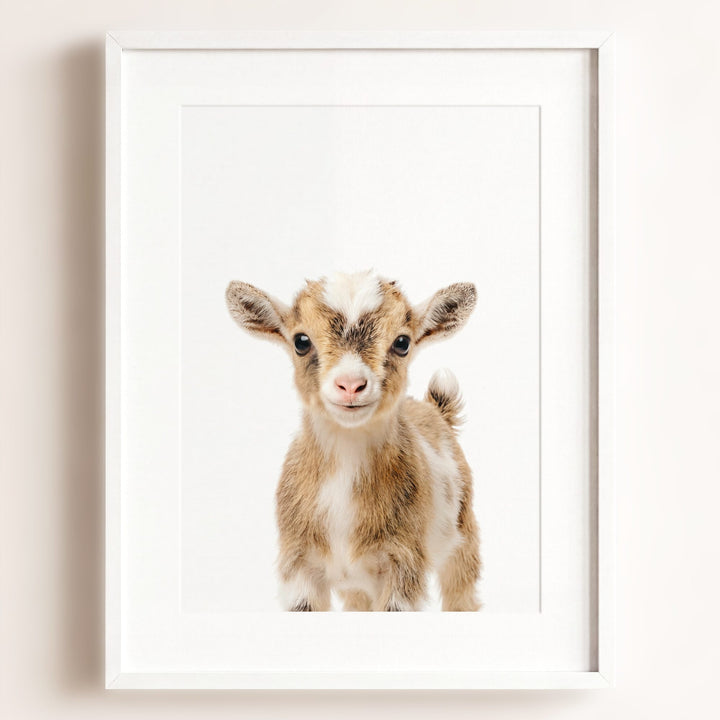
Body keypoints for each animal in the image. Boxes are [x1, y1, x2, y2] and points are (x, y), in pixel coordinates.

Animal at [226, 270, 481, 611]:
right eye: (301, 341)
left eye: (402, 343)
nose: (350, 385)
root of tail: (435, 409)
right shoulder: (298, 566)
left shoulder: (403, 563)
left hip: (464, 537)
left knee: (462, 592)